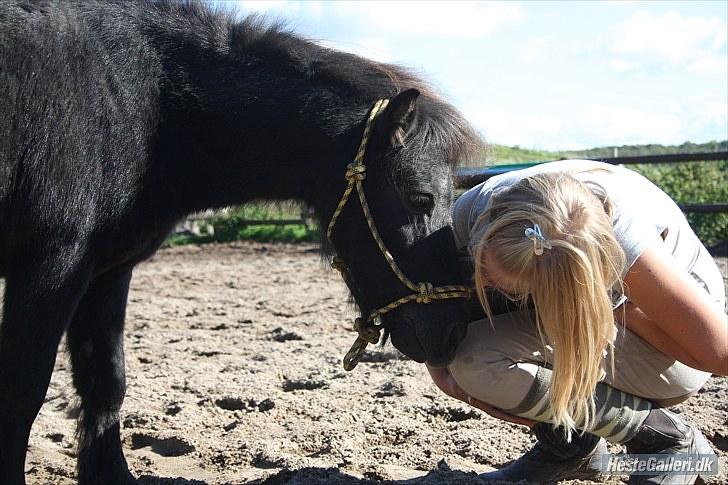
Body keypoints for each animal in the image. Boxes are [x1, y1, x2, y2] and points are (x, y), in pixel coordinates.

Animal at [1, 1, 484, 482]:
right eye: (421, 198)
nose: (455, 331)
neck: (145, 102)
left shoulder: (107, 273)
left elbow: (105, 383)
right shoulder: (53, 266)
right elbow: (22, 392)